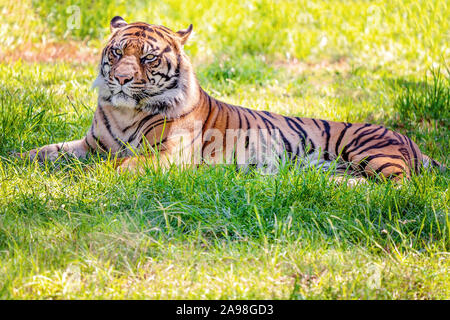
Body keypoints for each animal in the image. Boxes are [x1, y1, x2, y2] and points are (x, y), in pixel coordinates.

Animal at [18, 16, 442, 182]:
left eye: (148, 58)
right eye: (118, 52)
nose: (121, 79)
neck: (125, 111)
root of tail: (412, 141)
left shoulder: (167, 155)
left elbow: (122, 165)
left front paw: (96, 175)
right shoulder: (89, 144)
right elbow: (46, 151)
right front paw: (19, 159)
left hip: (369, 151)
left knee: (397, 185)